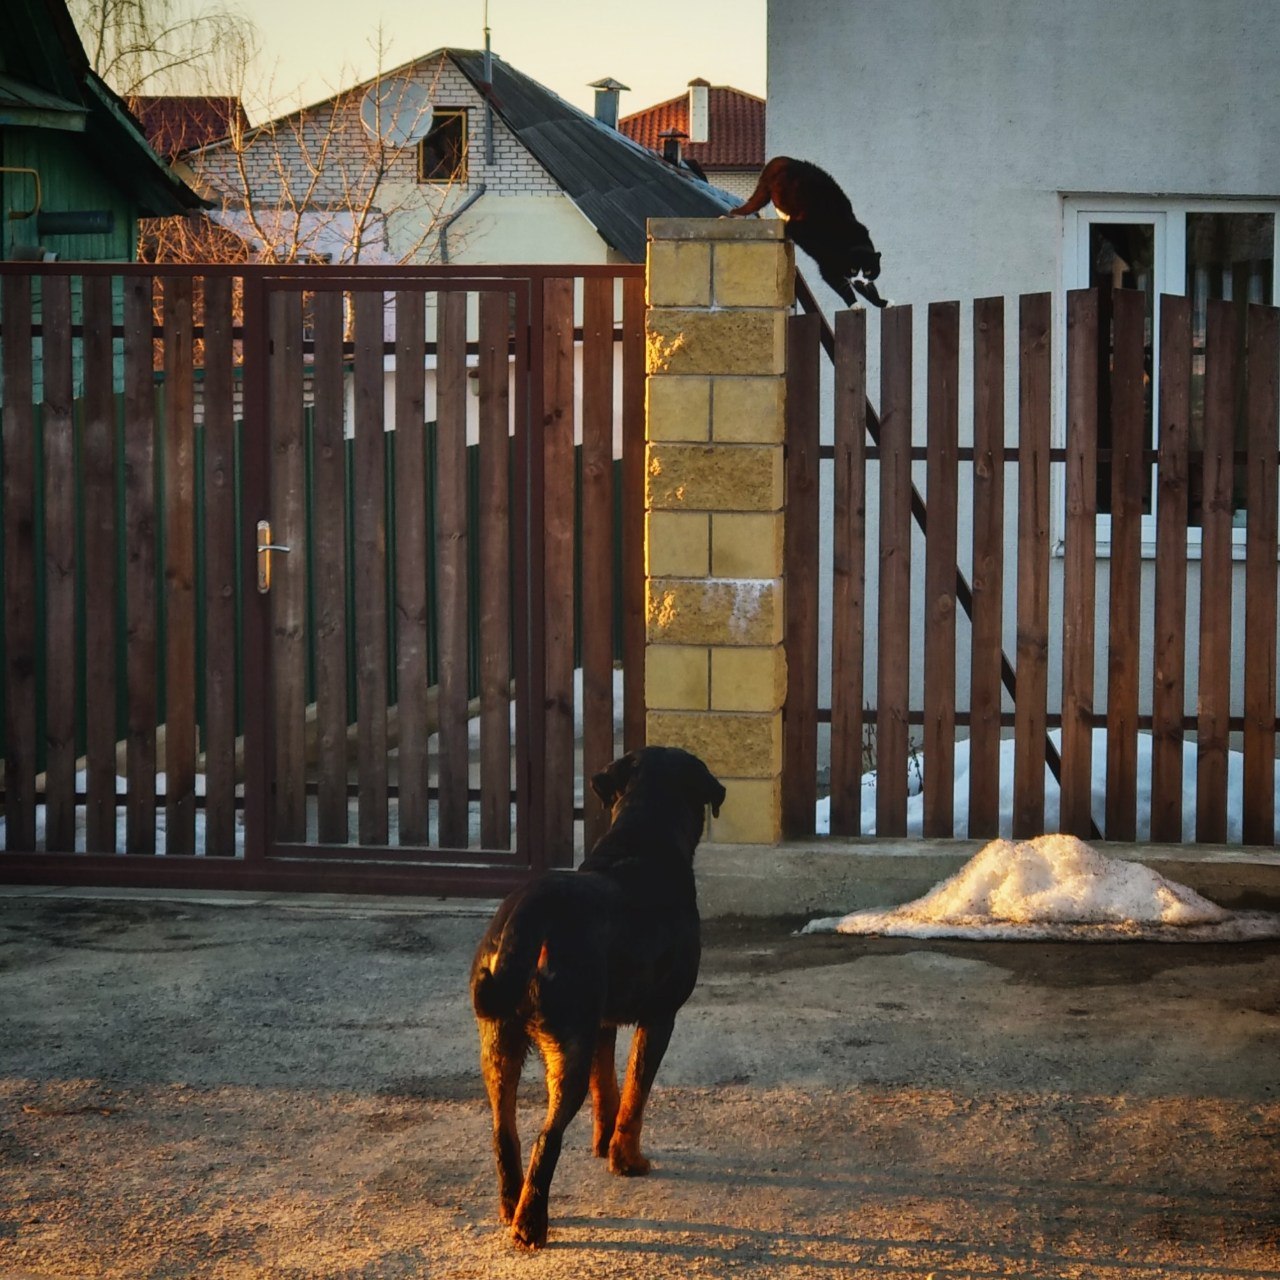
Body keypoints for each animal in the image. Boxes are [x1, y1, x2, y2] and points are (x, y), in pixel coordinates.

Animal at [473, 747, 732, 1244]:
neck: (640, 842)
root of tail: (531, 912)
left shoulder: (602, 1023)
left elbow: (607, 1086)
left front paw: (603, 1143)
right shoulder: (659, 1017)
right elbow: (634, 1093)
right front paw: (627, 1159)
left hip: (499, 1039)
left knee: (503, 1130)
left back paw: (510, 1206)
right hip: (567, 1038)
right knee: (547, 1135)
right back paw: (531, 1224)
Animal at [732, 155, 890, 309]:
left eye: (868, 271)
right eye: (853, 269)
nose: (858, 281)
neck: (853, 241)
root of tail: (785, 160)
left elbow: (870, 291)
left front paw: (883, 302)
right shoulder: (828, 268)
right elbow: (842, 288)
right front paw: (854, 304)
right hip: (786, 196)